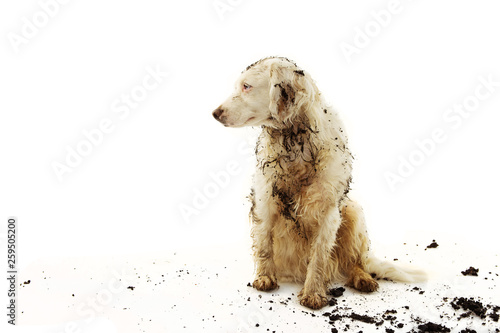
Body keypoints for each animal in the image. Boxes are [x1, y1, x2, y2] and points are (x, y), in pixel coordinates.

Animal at [211, 56, 426, 308]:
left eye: (246, 86)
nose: (215, 113)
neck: (295, 143)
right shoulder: (264, 201)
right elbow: (264, 244)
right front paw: (265, 278)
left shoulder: (328, 212)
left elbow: (319, 256)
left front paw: (313, 292)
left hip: (353, 210)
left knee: (356, 262)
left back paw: (363, 278)